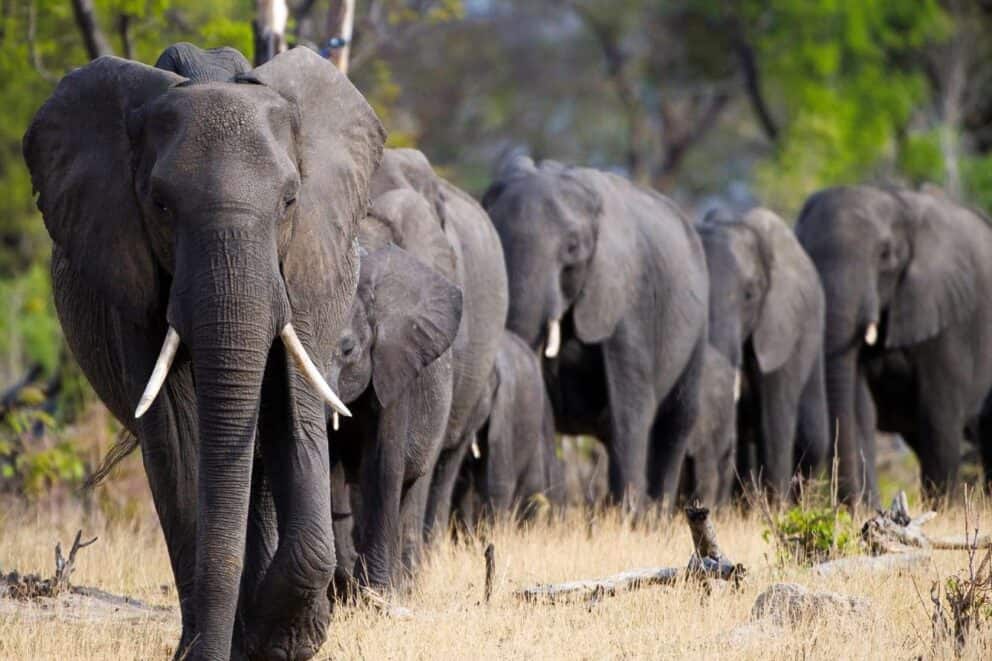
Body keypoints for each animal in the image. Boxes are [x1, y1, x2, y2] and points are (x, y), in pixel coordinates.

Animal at [23, 45, 385, 660]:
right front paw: (232, 642)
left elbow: (292, 413)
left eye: (290, 200)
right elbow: (176, 434)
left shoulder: (306, 263)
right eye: (161, 206)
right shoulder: (128, 271)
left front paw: (281, 640)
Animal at [327, 189, 462, 590]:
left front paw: (379, 593)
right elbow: (332, 467)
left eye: (347, 349)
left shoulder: (396, 367)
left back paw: (406, 584)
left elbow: (384, 464)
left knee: (410, 486)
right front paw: (344, 588)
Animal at [482, 156, 709, 511]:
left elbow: (630, 405)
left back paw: (656, 515)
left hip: (698, 326)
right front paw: (555, 513)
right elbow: (544, 406)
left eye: (572, 248)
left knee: (676, 421)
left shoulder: (628, 297)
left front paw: (626, 518)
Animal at [795, 186, 992, 504]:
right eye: (805, 250)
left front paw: (944, 507)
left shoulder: (948, 315)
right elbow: (860, 407)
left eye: (885, 255)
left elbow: (938, 414)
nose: (855, 506)